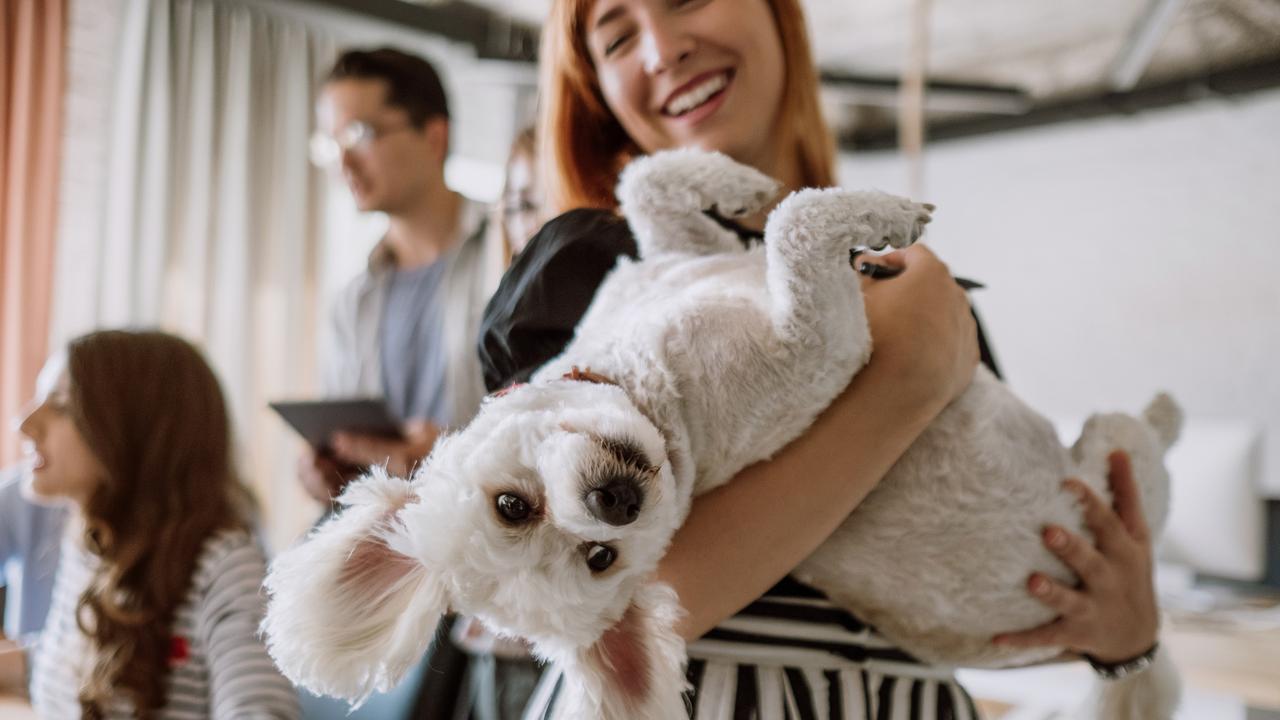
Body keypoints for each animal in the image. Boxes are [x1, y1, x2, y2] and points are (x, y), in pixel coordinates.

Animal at [264, 148, 1182, 712]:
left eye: (509, 507)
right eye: (601, 561)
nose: (616, 502)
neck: (640, 371)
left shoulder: (673, 257)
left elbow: (650, 185)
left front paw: (738, 181)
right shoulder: (823, 348)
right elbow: (796, 228)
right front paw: (882, 213)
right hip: (1114, 459)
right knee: (1141, 444)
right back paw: (1167, 414)